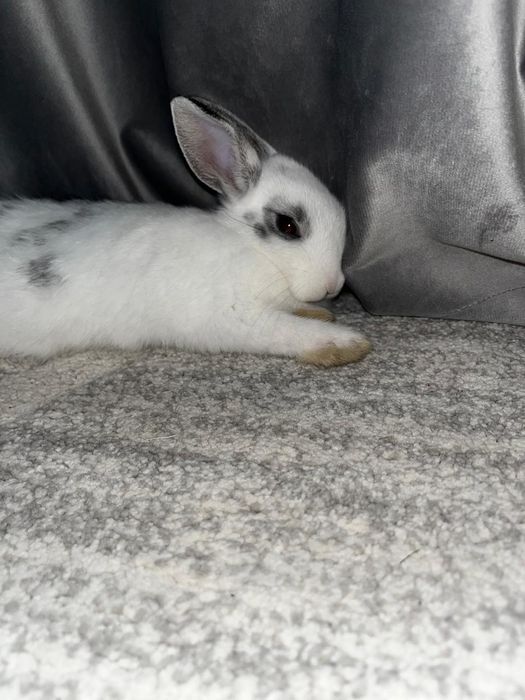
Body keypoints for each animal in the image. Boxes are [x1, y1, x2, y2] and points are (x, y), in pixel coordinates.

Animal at [0, 97, 371, 367]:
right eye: (287, 225)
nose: (334, 285)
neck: (257, 255)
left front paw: (321, 312)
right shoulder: (232, 315)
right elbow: (285, 329)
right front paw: (347, 343)